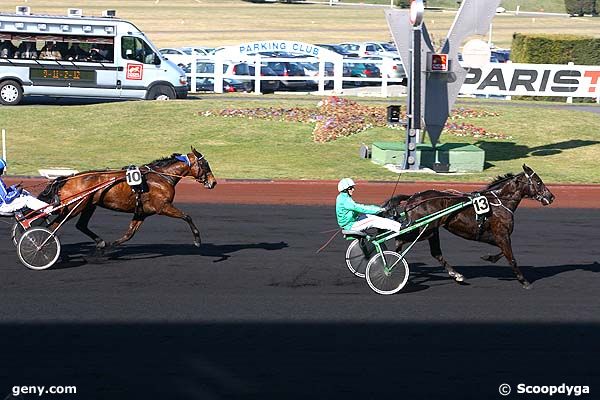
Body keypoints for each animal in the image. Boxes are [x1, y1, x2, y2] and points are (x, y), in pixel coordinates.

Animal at [38, 145, 216, 252]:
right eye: (205, 164)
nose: (213, 182)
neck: (161, 177)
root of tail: (67, 179)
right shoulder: (163, 206)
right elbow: (187, 216)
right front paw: (197, 240)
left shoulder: (142, 212)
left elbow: (129, 233)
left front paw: (111, 245)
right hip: (75, 207)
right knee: (53, 226)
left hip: (89, 205)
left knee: (80, 225)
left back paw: (101, 242)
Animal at [382, 164, 556, 290]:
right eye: (539, 182)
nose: (551, 197)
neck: (499, 202)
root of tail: (413, 198)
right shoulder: (502, 235)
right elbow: (511, 258)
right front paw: (524, 281)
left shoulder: (495, 236)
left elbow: (502, 253)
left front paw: (489, 257)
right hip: (422, 229)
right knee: (399, 239)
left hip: (432, 231)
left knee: (436, 253)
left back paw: (456, 275)